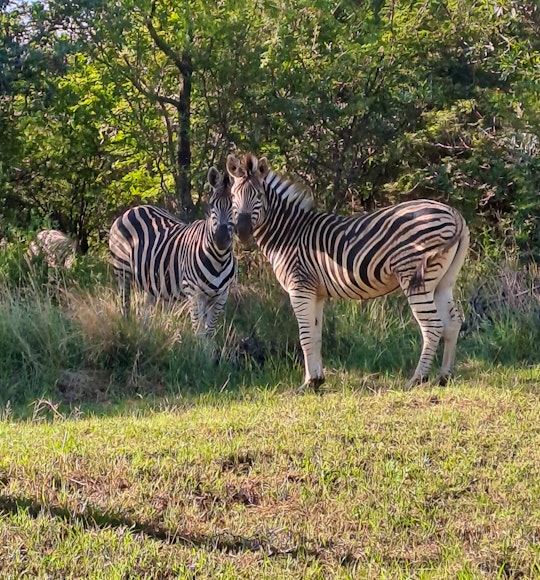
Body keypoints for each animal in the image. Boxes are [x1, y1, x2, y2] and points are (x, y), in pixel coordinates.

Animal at [108, 165, 236, 338]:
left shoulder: (220, 297)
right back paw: (127, 331)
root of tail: (133, 209)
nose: (221, 239)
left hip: (149, 279)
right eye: (211, 206)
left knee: (144, 308)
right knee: (125, 304)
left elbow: (209, 333)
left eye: (234, 206)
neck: (219, 260)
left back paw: (145, 335)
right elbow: (199, 333)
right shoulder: (194, 294)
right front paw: (198, 346)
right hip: (122, 270)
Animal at [226, 154, 470, 390]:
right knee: (453, 322)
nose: (243, 232)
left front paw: (307, 384)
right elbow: (315, 336)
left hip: (415, 276)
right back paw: (444, 377)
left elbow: (304, 336)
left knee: (433, 326)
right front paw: (316, 380)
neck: (288, 233)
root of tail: (453, 213)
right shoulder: (316, 293)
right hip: (442, 281)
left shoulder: (300, 287)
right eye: (233, 196)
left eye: (259, 195)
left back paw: (416, 379)